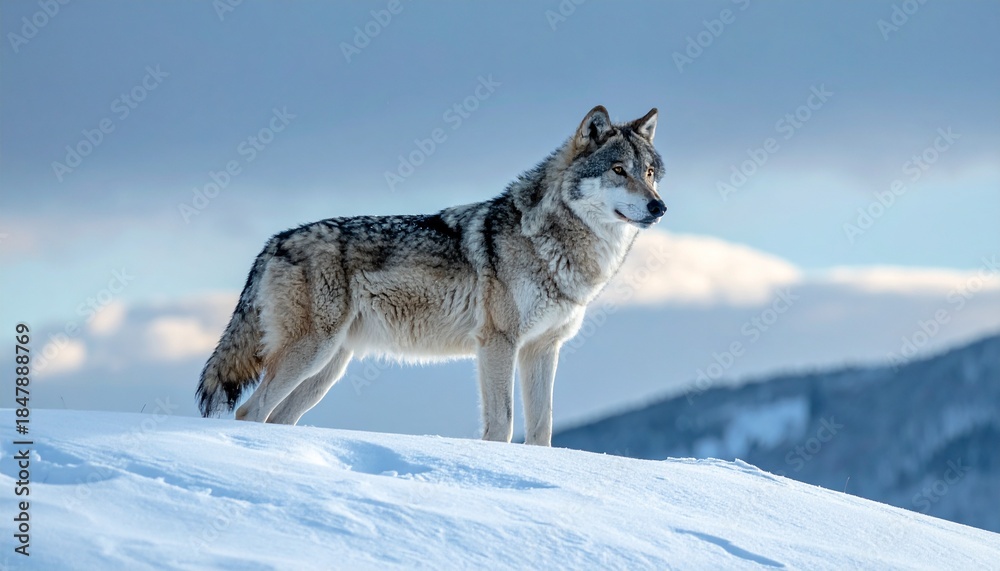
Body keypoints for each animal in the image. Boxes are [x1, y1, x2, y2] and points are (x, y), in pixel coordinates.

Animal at [196, 105, 666, 445]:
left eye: (648, 173)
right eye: (618, 170)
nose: (660, 207)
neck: (551, 241)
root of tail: (274, 241)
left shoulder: (542, 349)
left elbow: (542, 430)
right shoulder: (498, 342)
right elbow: (503, 423)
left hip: (328, 368)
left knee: (278, 418)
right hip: (312, 352)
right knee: (249, 412)